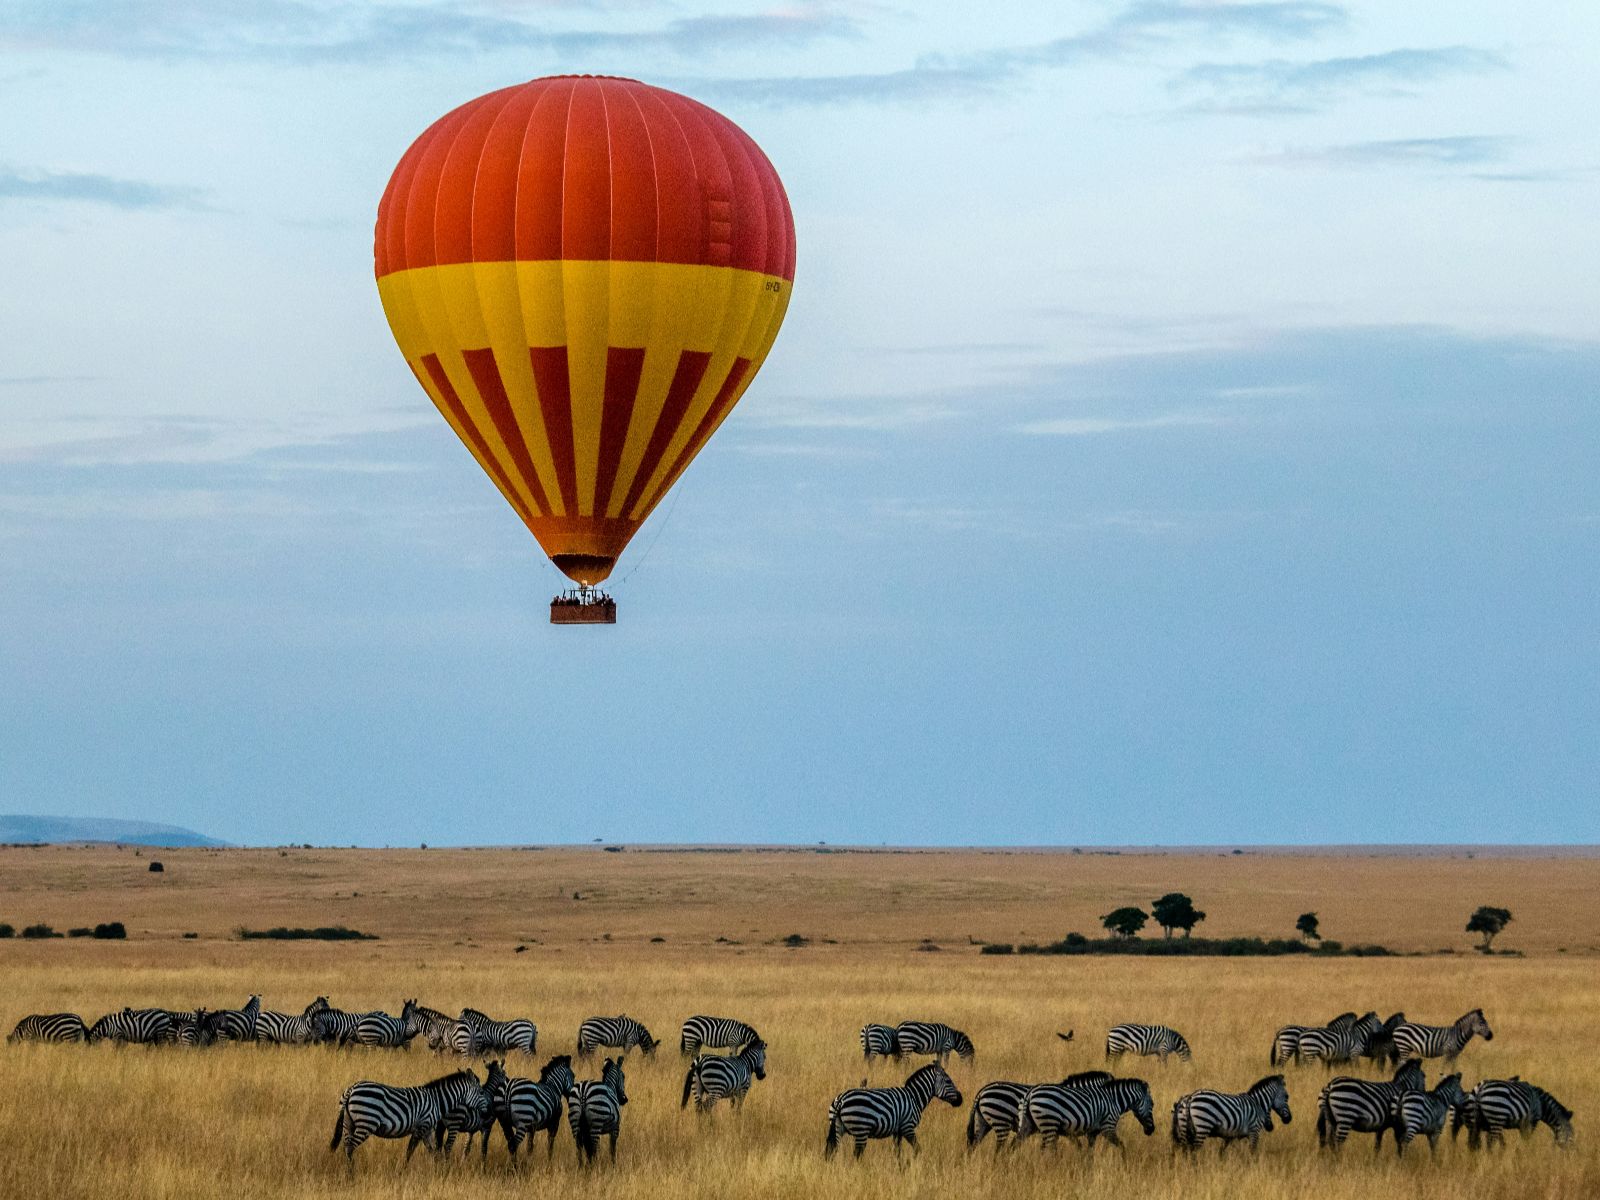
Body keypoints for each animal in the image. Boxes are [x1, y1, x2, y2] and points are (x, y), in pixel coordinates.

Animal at [824, 1063, 963, 1159]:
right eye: (948, 1081)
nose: (961, 1099)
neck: (914, 1097)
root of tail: (840, 1100)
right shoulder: (908, 1127)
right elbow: (917, 1148)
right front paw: (916, 1163)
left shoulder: (898, 1131)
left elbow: (897, 1152)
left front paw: (901, 1168)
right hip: (861, 1130)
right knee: (857, 1155)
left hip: (838, 1127)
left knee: (832, 1151)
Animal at [1017, 1076, 1156, 1150]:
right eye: (1152, 1104)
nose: (1152, 1130)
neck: (1114, 1100)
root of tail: (1031, 1093)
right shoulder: (1108, 1127)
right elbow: (1122, 1146)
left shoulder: (1092, 1133)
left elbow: (1089, 1154)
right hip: (1049, 1123)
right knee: (1045, 1149)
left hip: (1030, 1125)